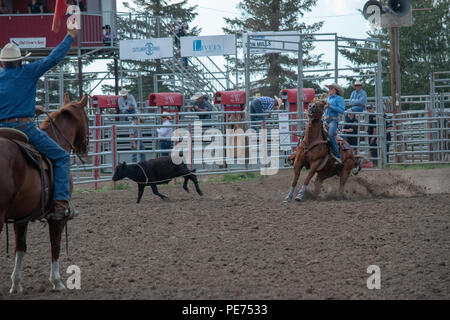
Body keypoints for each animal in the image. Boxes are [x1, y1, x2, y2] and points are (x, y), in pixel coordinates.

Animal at [0, 92, 89, 292]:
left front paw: (16, 284)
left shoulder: (21, 216)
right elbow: (54, 245)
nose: (85, 149)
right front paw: (57, 282)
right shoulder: (57, 217)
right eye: (88, 118)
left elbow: (20, 248)